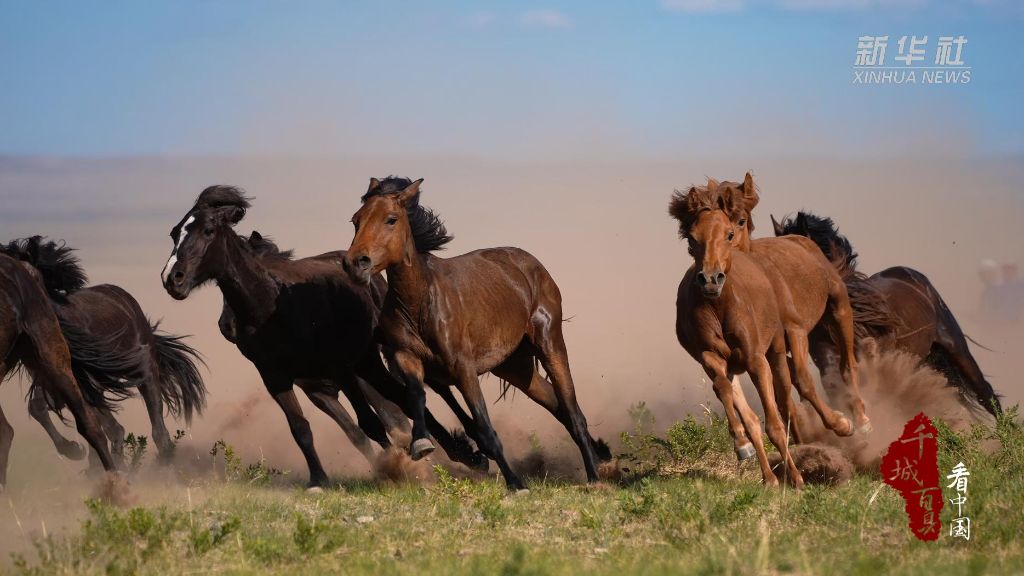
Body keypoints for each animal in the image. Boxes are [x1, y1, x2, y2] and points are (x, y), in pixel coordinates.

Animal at [161, 185, 483, 487]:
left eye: (208, 230)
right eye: (175, 233)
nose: (172, 278)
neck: (274, 308)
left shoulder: (341, 369)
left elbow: (371, 422)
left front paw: (397, 467)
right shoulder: (281, 378)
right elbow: (303, 428)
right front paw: (319, 479)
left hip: (379, 357)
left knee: (416, 394)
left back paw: (465, 451)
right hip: (365, 365)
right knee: (399, 400)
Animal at [344, 176, 608, 491]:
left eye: (391, 219)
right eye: (356, 220)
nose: (355, 263)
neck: (421, 301)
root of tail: (530, 263)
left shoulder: (463, 369)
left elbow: (484, 426)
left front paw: (516, 483)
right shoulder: (407, 357)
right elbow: (416, 396)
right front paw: (421, 443)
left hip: (550, 342)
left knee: (572, 410)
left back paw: (594, 475)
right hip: (514, 367)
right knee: (559, 407)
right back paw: (601, 458)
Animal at [669, 185, 803, 487]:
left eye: (729, 234)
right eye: (692, 238)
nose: (710, 279)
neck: (719, 309)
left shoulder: (756, 360)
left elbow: (775, 426)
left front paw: (797, 480)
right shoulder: (711, 358)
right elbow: (723, 390)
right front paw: (742, 445)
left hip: (776, 351)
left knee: (785, 404)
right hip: (734, 366)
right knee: (749, 414)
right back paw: (768, 477)